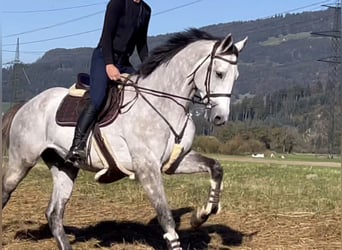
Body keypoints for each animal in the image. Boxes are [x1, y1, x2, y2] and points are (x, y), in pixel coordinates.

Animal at [3, 28, 248, 249]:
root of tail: (26, 104)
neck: (165, 105)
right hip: (21, 161)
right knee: (6, 192)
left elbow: (216, 167)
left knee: (54, 213)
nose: (220, 117)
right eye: (219, 73)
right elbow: (165, 215)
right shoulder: (146, 167)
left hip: (65, 167)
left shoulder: (176, 161)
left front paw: (200, 216)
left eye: (236, 77)